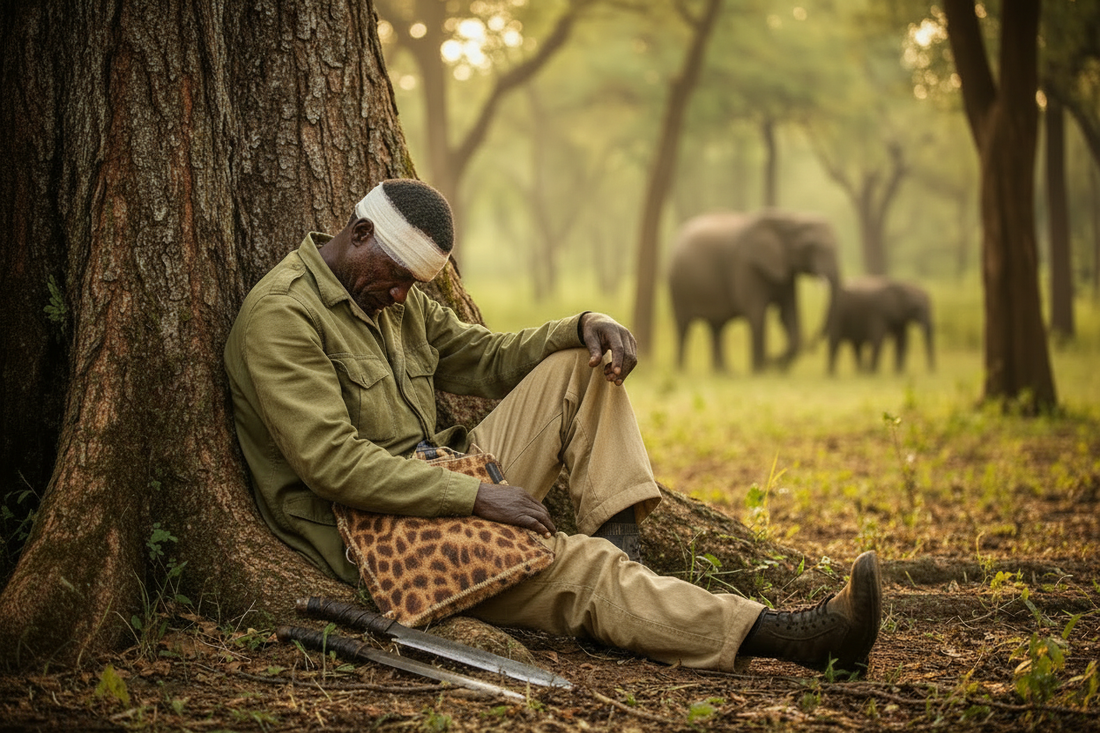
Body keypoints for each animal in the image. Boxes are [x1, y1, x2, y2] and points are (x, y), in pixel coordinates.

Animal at [668, 210, 841, 372]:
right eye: (810, 246)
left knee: (717, 327)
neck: (789, 218)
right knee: (683, 326)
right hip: (678, 284)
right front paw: (761, 370)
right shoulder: (746, 266)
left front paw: (777, 368)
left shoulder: (786, 273)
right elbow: (757, 313)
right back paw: (681, 370)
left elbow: (788, 315)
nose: (813, 348)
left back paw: (724, 372)